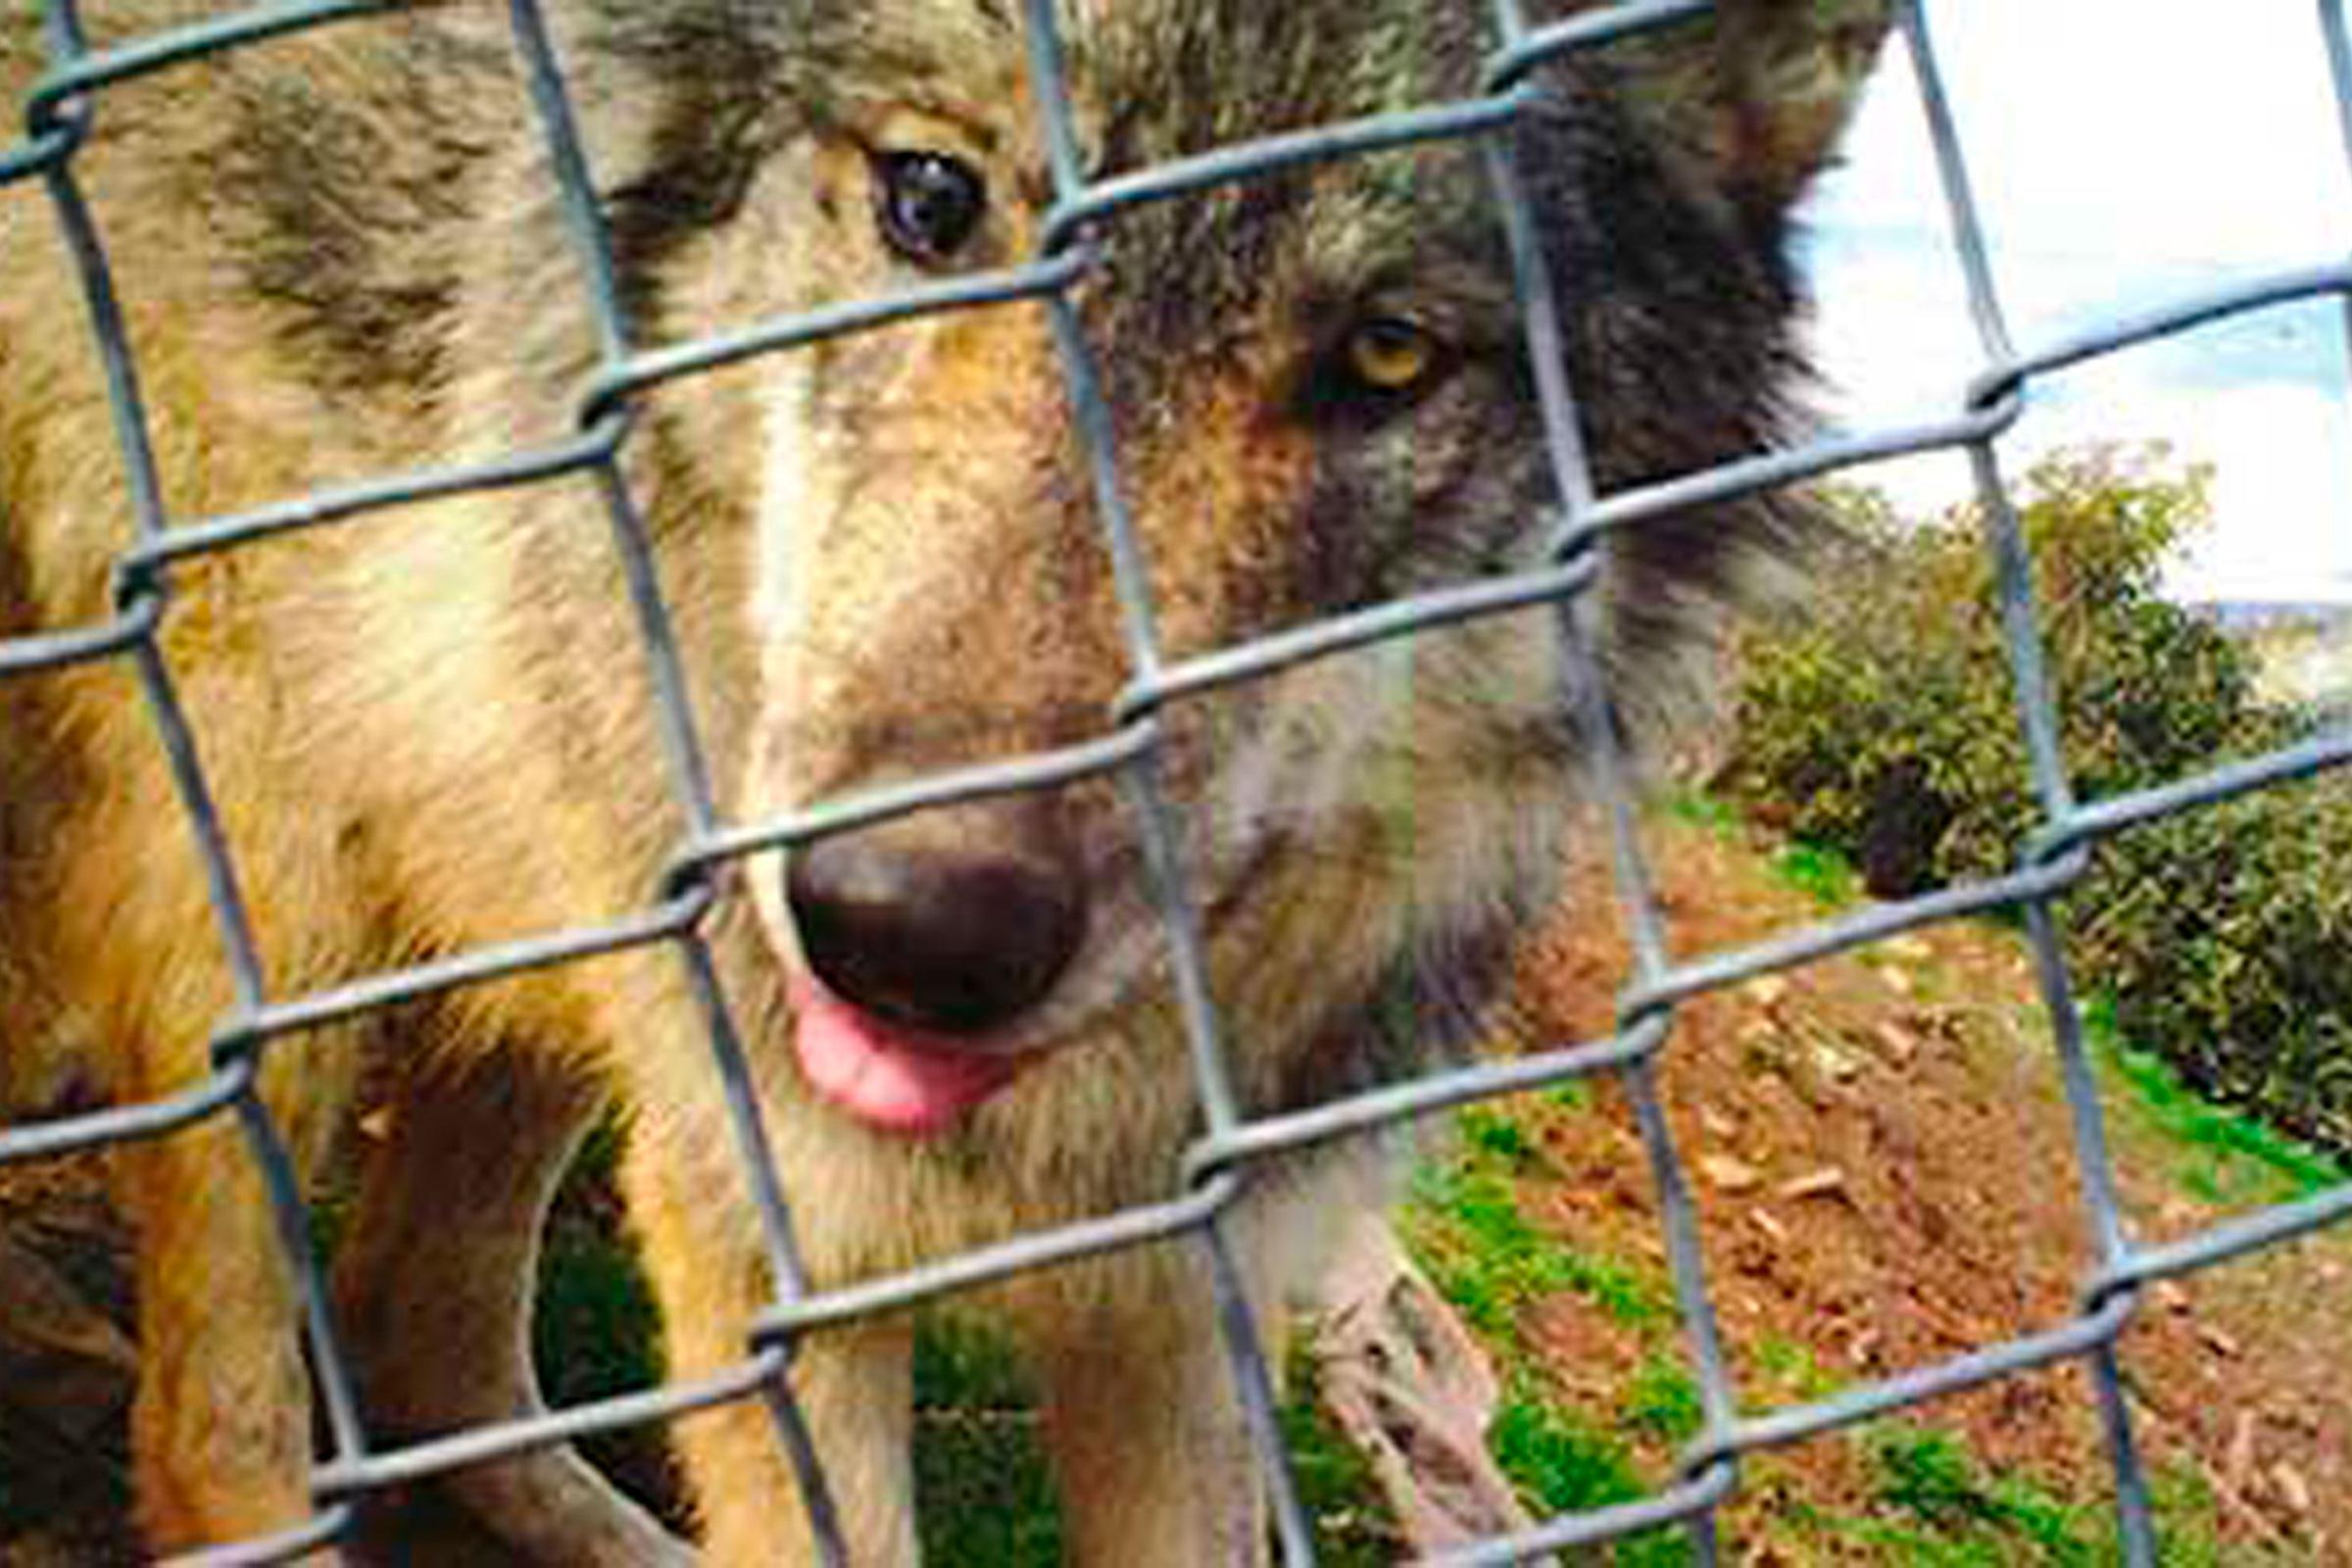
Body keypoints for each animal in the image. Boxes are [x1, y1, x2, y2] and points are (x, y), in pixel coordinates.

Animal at [0, 3, 1882, 1560]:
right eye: (929, 202)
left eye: (1393, 354)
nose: (907, 931)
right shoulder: (791, 1245)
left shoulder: (1182, 1292)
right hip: (281, 890)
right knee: (219, 1412)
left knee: (423, 1329)